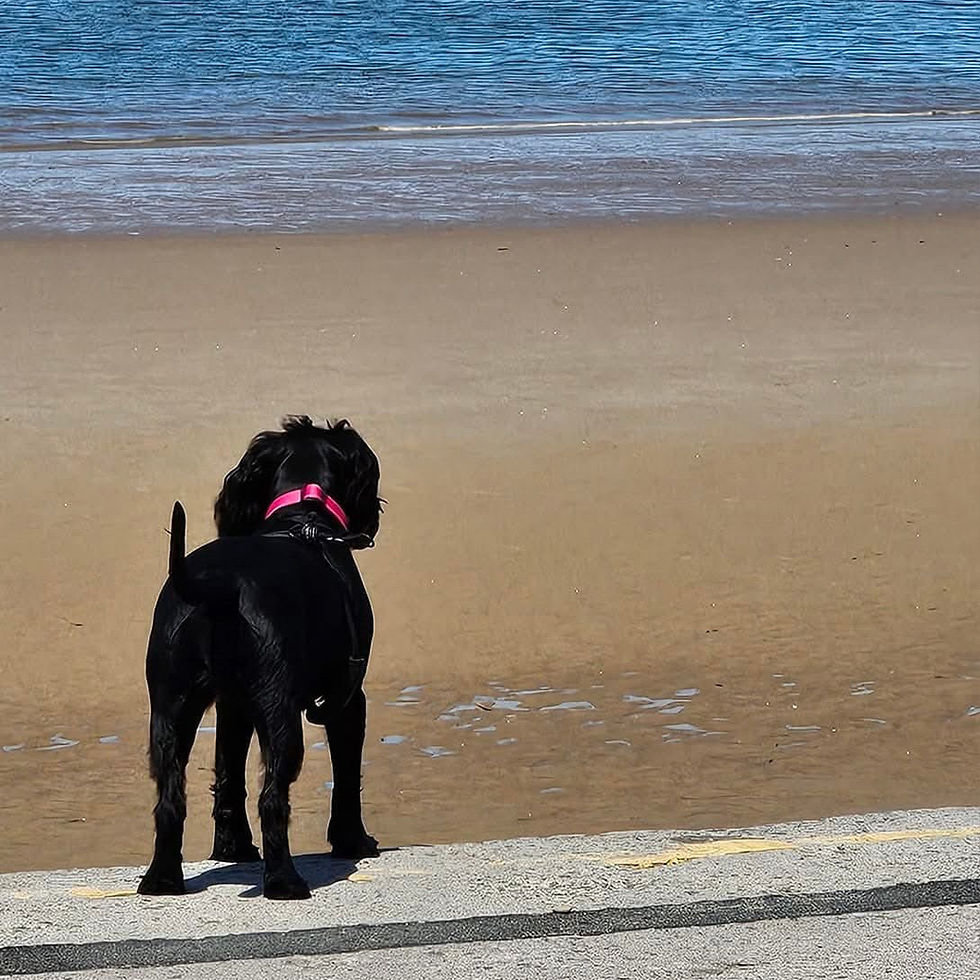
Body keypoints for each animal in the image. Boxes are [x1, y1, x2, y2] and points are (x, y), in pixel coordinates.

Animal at [138, 416, 383, 900]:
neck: (303, 516)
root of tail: (219, 585)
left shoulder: (232, 706)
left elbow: (228, 775)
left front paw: (232, 849)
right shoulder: (348, 698)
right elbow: (348, 776)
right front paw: (353, 841)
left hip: (171, 708)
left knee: (170, 798)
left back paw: (162, 879)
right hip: (278, 711)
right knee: (273, 797)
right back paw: (285, 880)